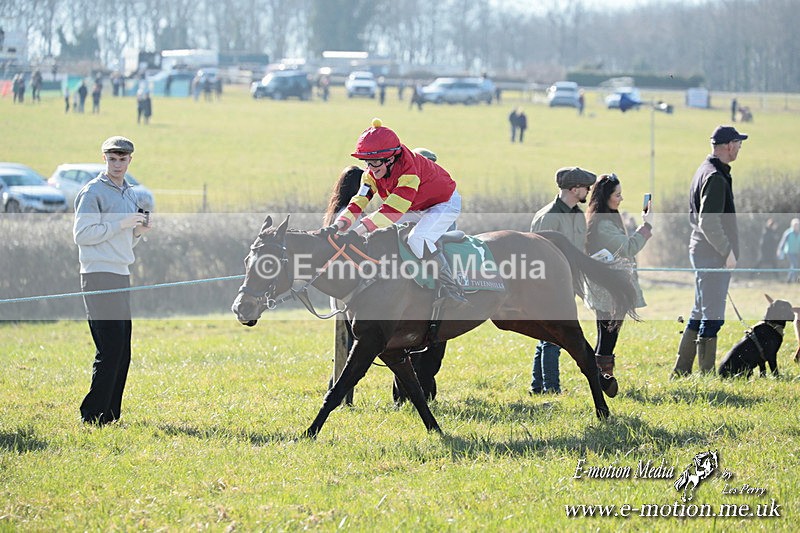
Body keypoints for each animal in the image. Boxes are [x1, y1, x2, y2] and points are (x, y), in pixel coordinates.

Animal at [231, 215, 638, 438]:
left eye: (268, 264)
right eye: (249, 260)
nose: (241, 307)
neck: (365, 271)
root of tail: (545, 238)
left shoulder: (369, 343)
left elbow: (337, 389)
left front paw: (307, 434)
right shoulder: (392, 348)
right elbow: (413, 389)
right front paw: (437, 430)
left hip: (554, 315)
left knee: (582, 352)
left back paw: (604, 407)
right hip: (518, 319)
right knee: (575, 351)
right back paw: (607, 386)